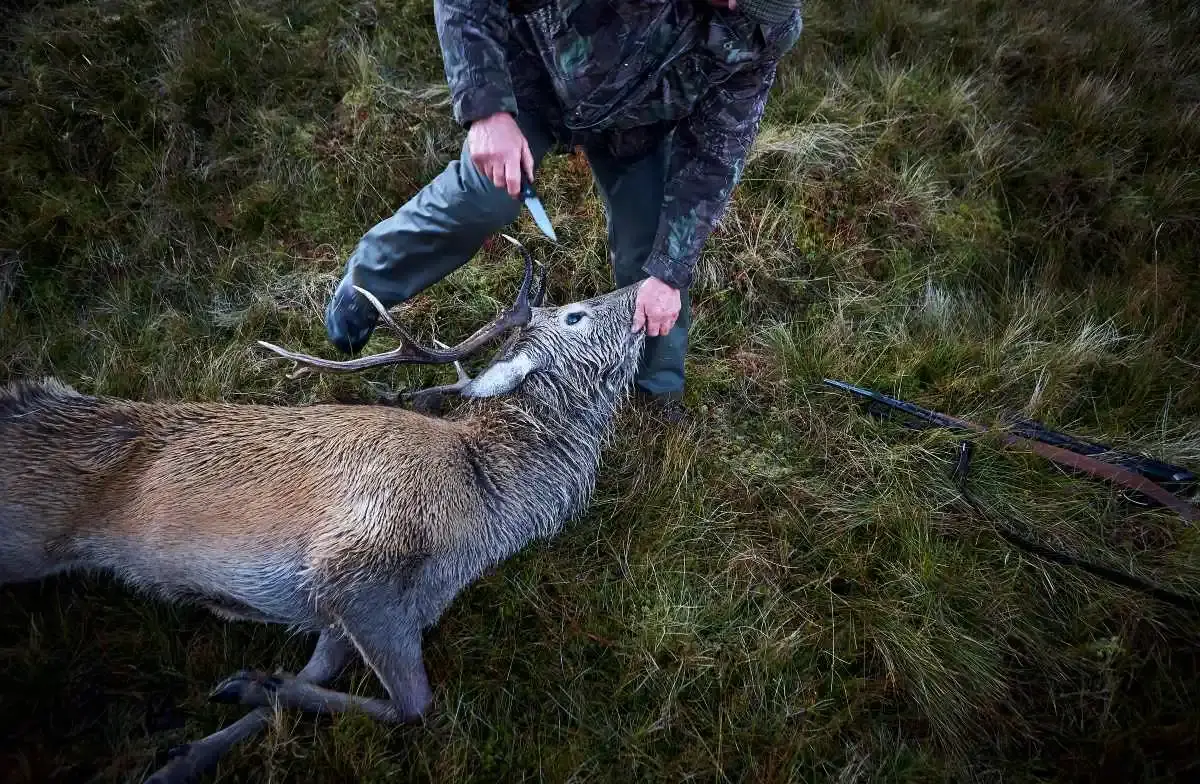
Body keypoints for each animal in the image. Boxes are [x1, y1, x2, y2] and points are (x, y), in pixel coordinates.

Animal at [0, 236, 651, 784]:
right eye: (575, 315)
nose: (645, 283)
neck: (488, 505)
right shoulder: (355, 565)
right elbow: (414, 706)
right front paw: (246, 686)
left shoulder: (342, 612)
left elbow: (308, 677)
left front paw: (199, 742)